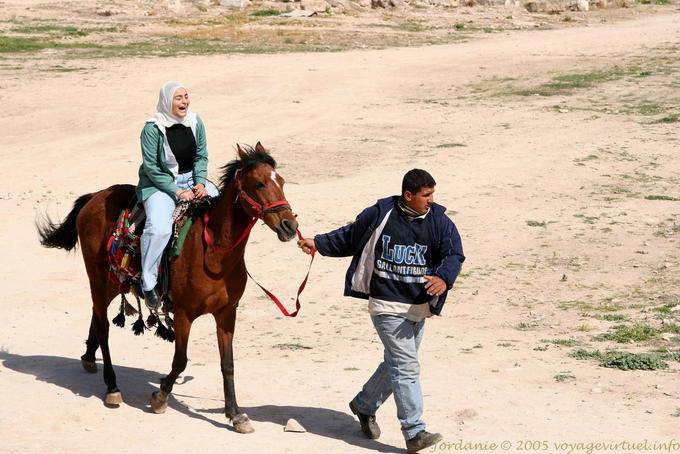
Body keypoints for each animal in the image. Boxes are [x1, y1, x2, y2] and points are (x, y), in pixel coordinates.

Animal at [36, 143, 298, 434]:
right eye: (260, 183)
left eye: (281, 181)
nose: (290, 225)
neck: (213, 252)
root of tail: (95, 196)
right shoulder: (184, 314)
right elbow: (180, 360)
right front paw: (160, 396)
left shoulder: (227, 313)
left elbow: (227, 364)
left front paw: (235, 413)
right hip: (98, 278)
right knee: (103, 325)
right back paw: (112, 387)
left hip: (114, 282)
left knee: (97, 315)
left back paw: (88, 357)